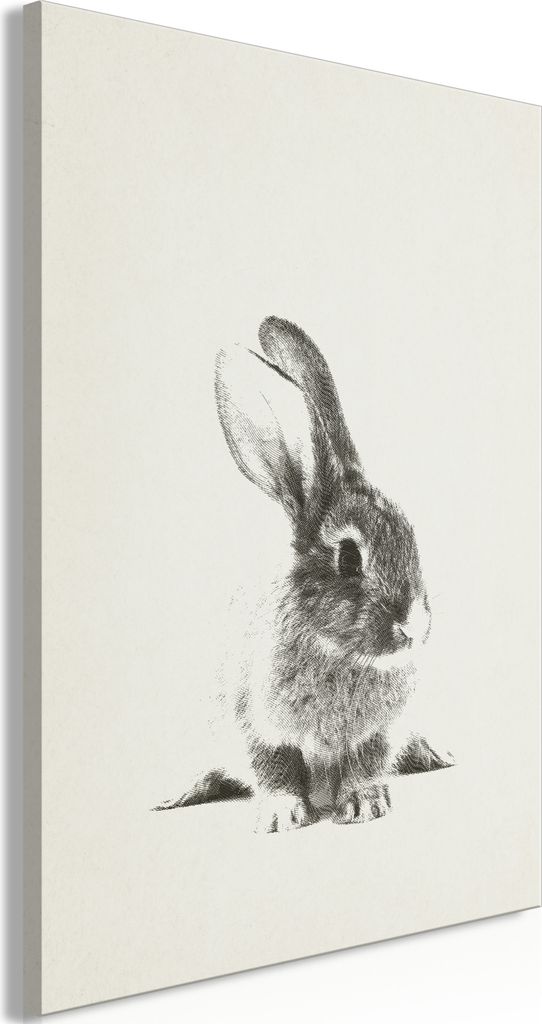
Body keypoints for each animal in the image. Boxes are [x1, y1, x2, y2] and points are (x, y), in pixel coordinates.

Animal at [154, 316, 453, 832]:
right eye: (349, 558)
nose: (415, 626)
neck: (337, 650)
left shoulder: (377, 732)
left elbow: (367, 764)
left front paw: (365, 806)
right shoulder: (256, 725)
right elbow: (274, 768)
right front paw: (280, 816)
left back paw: (435, 754)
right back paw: (182, 794)